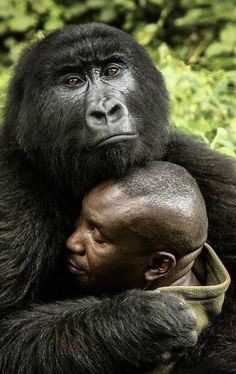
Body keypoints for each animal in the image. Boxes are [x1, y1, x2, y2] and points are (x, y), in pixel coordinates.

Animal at [0, 23, 235, 374]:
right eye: (72, 81)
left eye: (112, 71)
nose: (106, 110)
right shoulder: (11, 193)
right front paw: (139, 322)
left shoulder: (208, 171)